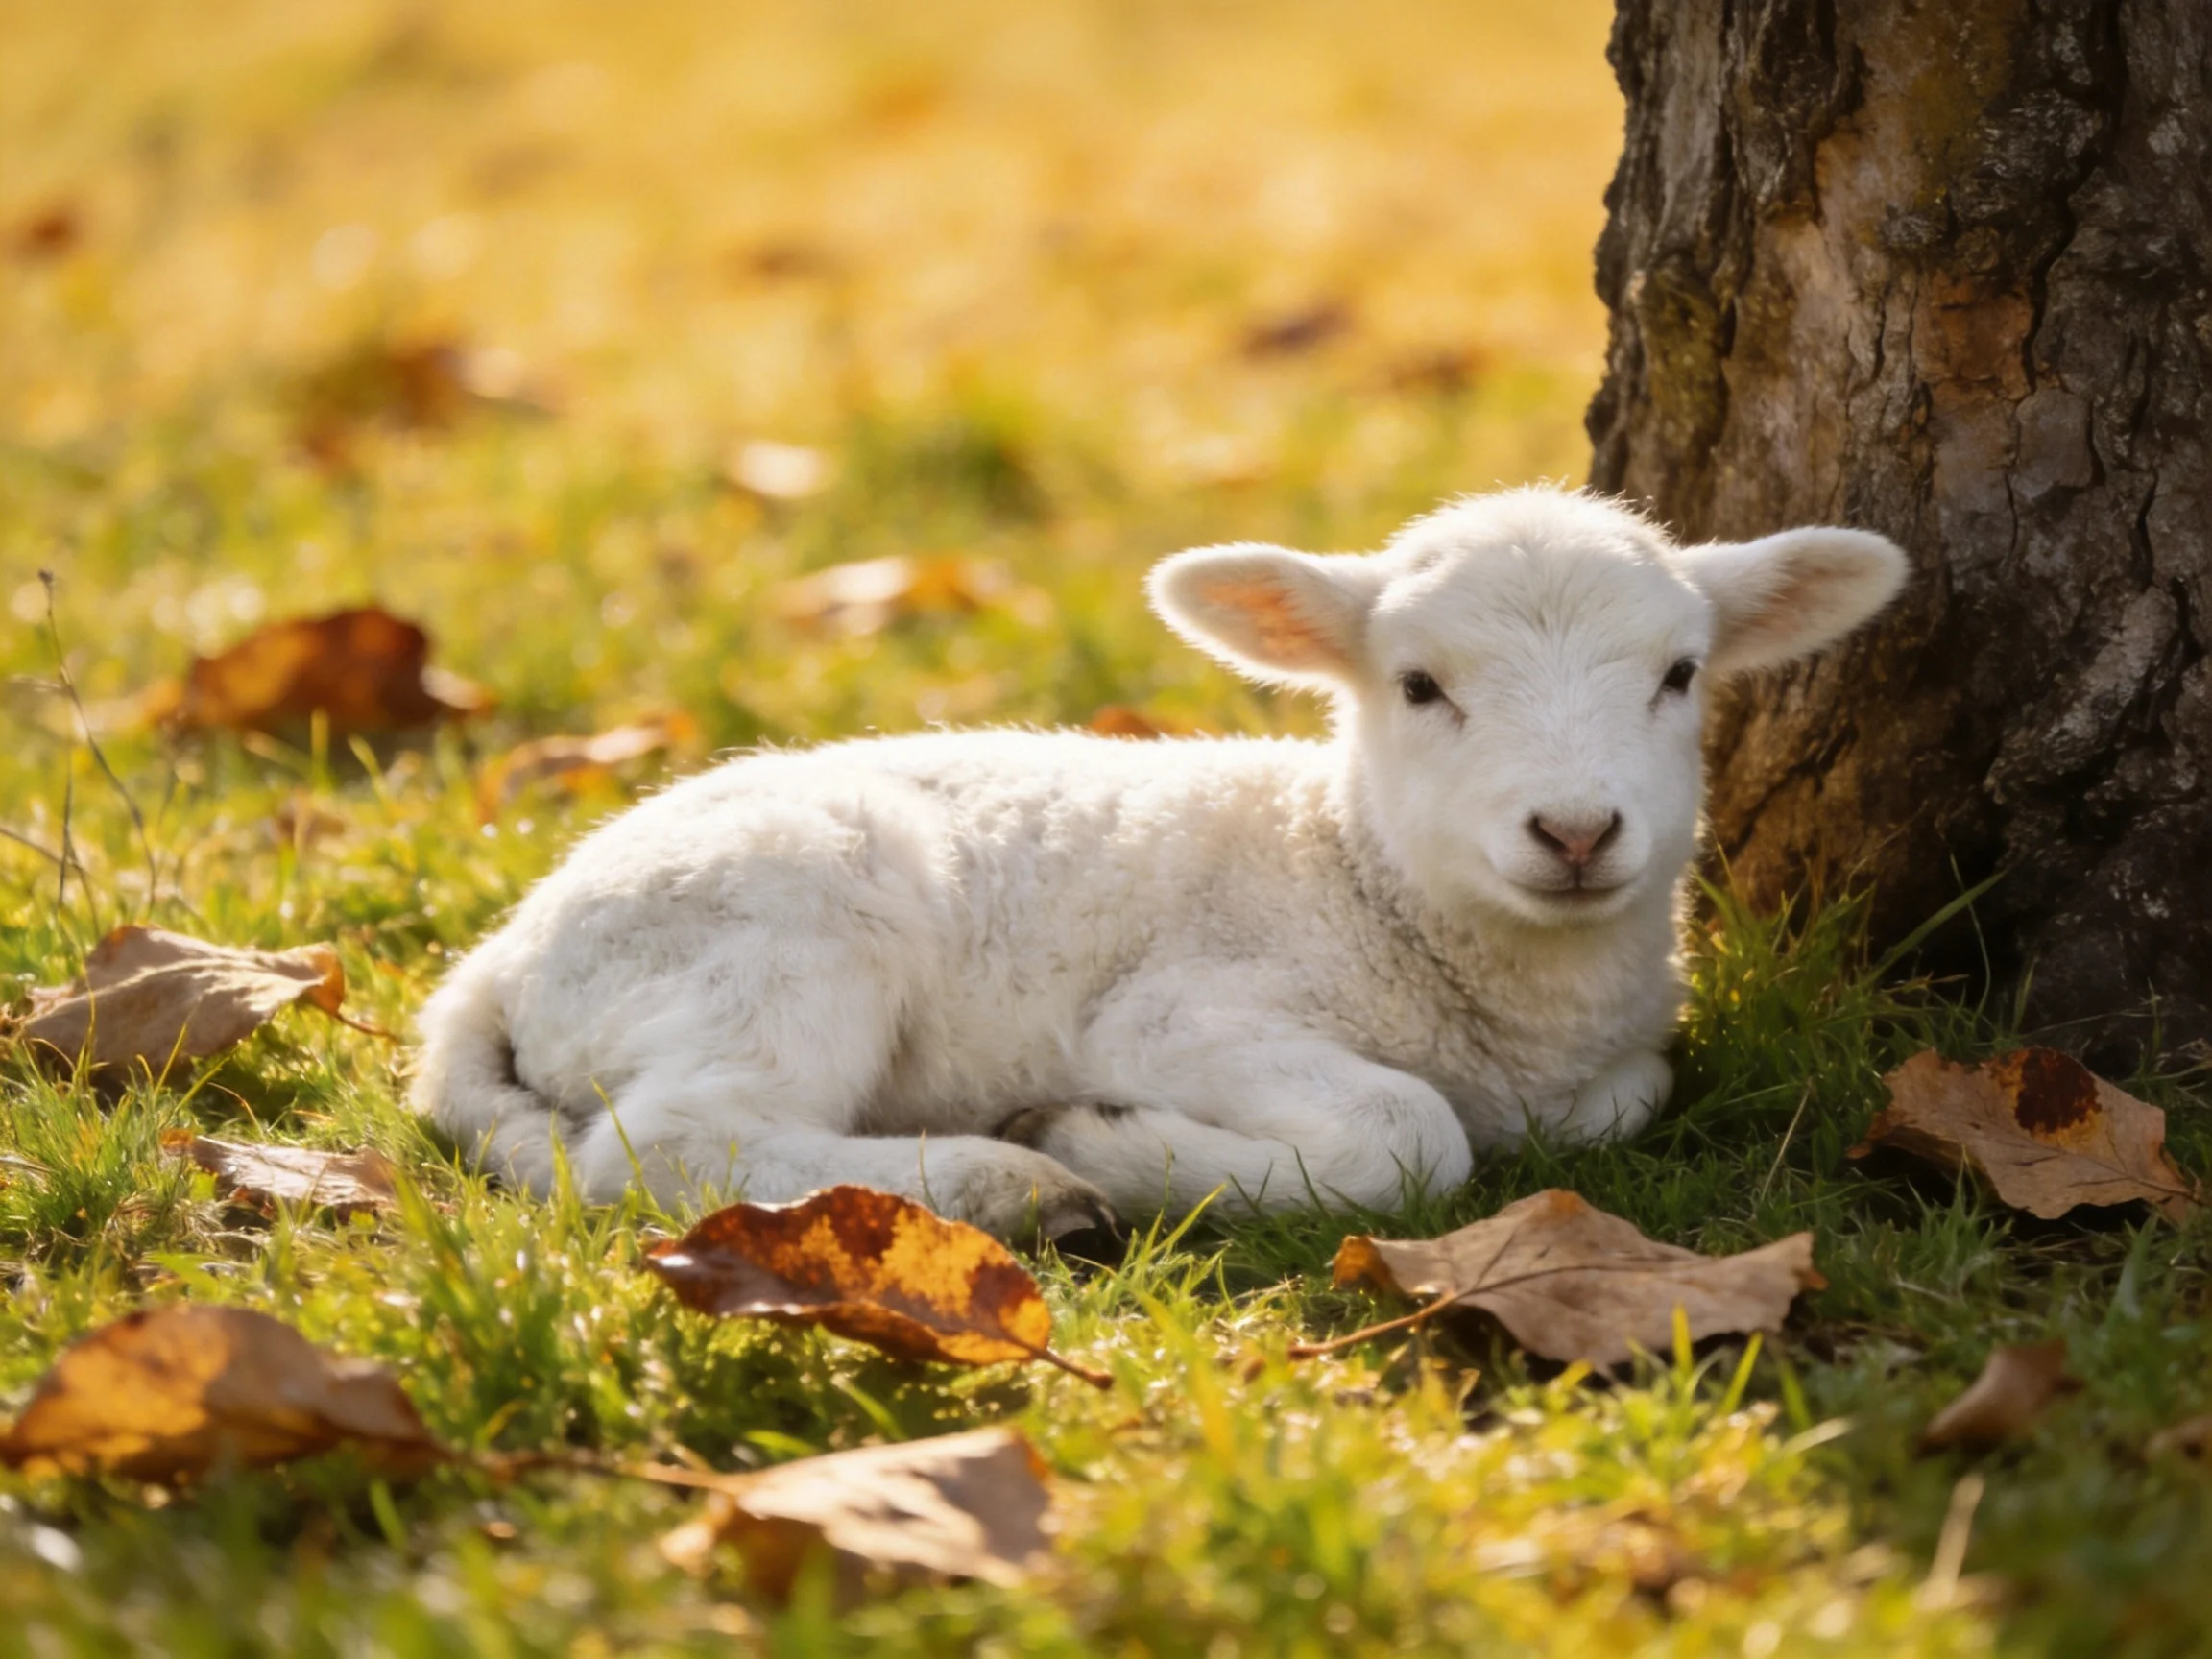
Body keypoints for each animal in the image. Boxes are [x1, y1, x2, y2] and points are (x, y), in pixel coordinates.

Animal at [412, 486, 1906, 1244]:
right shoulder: (1177, 1014)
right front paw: (1102, 1141)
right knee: (662, 1144)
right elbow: (1408, 1135)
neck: (1358, 874)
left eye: (1681, 674)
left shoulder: (1612, 1071)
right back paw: (1017, 1183)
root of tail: (496, 965)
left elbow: (1619, 1105)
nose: (1579, 832)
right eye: (1419, 686)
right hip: (781, 923)